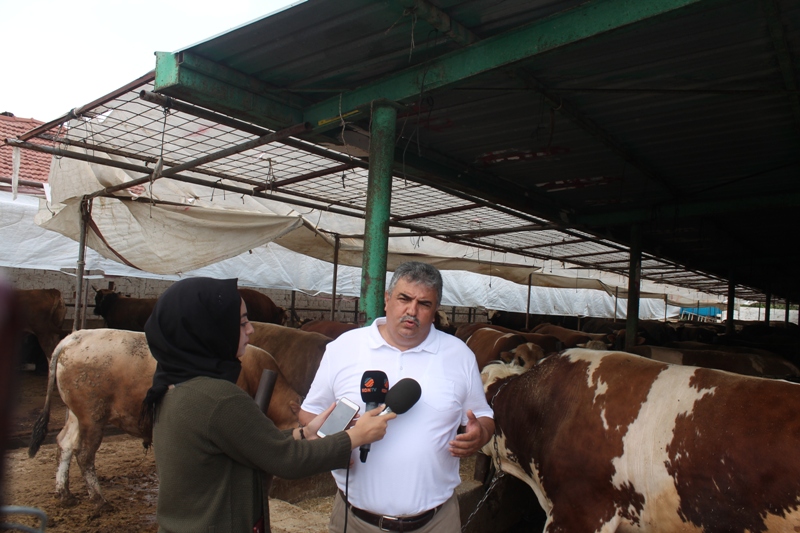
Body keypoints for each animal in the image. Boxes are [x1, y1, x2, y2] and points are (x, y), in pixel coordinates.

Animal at [28, 326, 300, 504]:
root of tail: (73, 337)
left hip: (76, 414)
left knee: (64, 443)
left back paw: (64, 494)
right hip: (92, 415)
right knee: (84, 453)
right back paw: (98, 499)